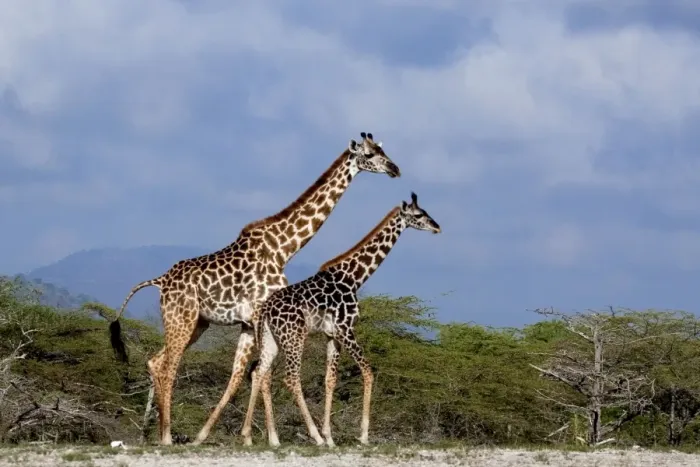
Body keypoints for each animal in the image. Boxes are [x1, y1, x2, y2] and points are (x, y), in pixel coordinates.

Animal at [107, 132, 401, 446]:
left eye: (382, 149)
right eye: (369, 155)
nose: (394, 169)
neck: (284, 248)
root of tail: (160, 280)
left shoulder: (249, 322)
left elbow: (241, 375)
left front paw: (227, 435)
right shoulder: (262, 314)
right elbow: (263, 373)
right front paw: (272, 438)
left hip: (197, 323)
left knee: (155, 360)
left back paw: (151, 429)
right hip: (181, 319)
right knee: (168, 367)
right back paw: (166, 436)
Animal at [241, 192, 441, 447]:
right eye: (419, 215)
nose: (436, 227)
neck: (354, 277)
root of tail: (265, 309)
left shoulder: (332, 335)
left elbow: (330, 380)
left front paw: (330, 437)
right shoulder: (346, 329)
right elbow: (368, 372)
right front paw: (362, 435)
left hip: (271, 339)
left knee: (259, 373)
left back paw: (253, 436)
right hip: (294, 337)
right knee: (291, 378)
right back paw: (313, 436)